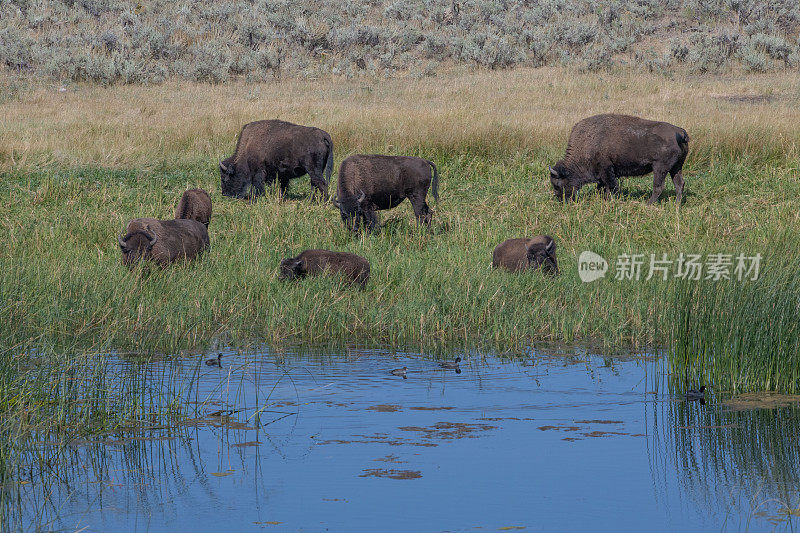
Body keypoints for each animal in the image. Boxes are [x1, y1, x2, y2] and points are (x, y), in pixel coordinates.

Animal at [552, 112, 688, 204]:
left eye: (557, 185)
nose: (562, 201)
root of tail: (680, 132)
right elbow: (603, 187)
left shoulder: (606, 170)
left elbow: (612, 186)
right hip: (676, 167)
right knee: (679, 184)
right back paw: (677, 204)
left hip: (660, 168)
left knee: (658, 187)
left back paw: (648, 204)